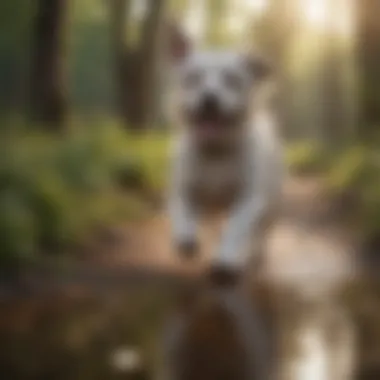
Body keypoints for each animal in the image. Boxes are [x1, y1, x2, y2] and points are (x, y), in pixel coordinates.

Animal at [166, 26, 282, 282]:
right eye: (193, 78)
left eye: (232, 80)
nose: (209, 98)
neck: (215, 152)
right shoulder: (182, 189)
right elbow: (182, 212)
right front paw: (187, 238)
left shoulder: (249, 198)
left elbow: (236, 228)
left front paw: (226, 259)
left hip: (271, 203)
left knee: (259, 233)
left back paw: (250, 254)